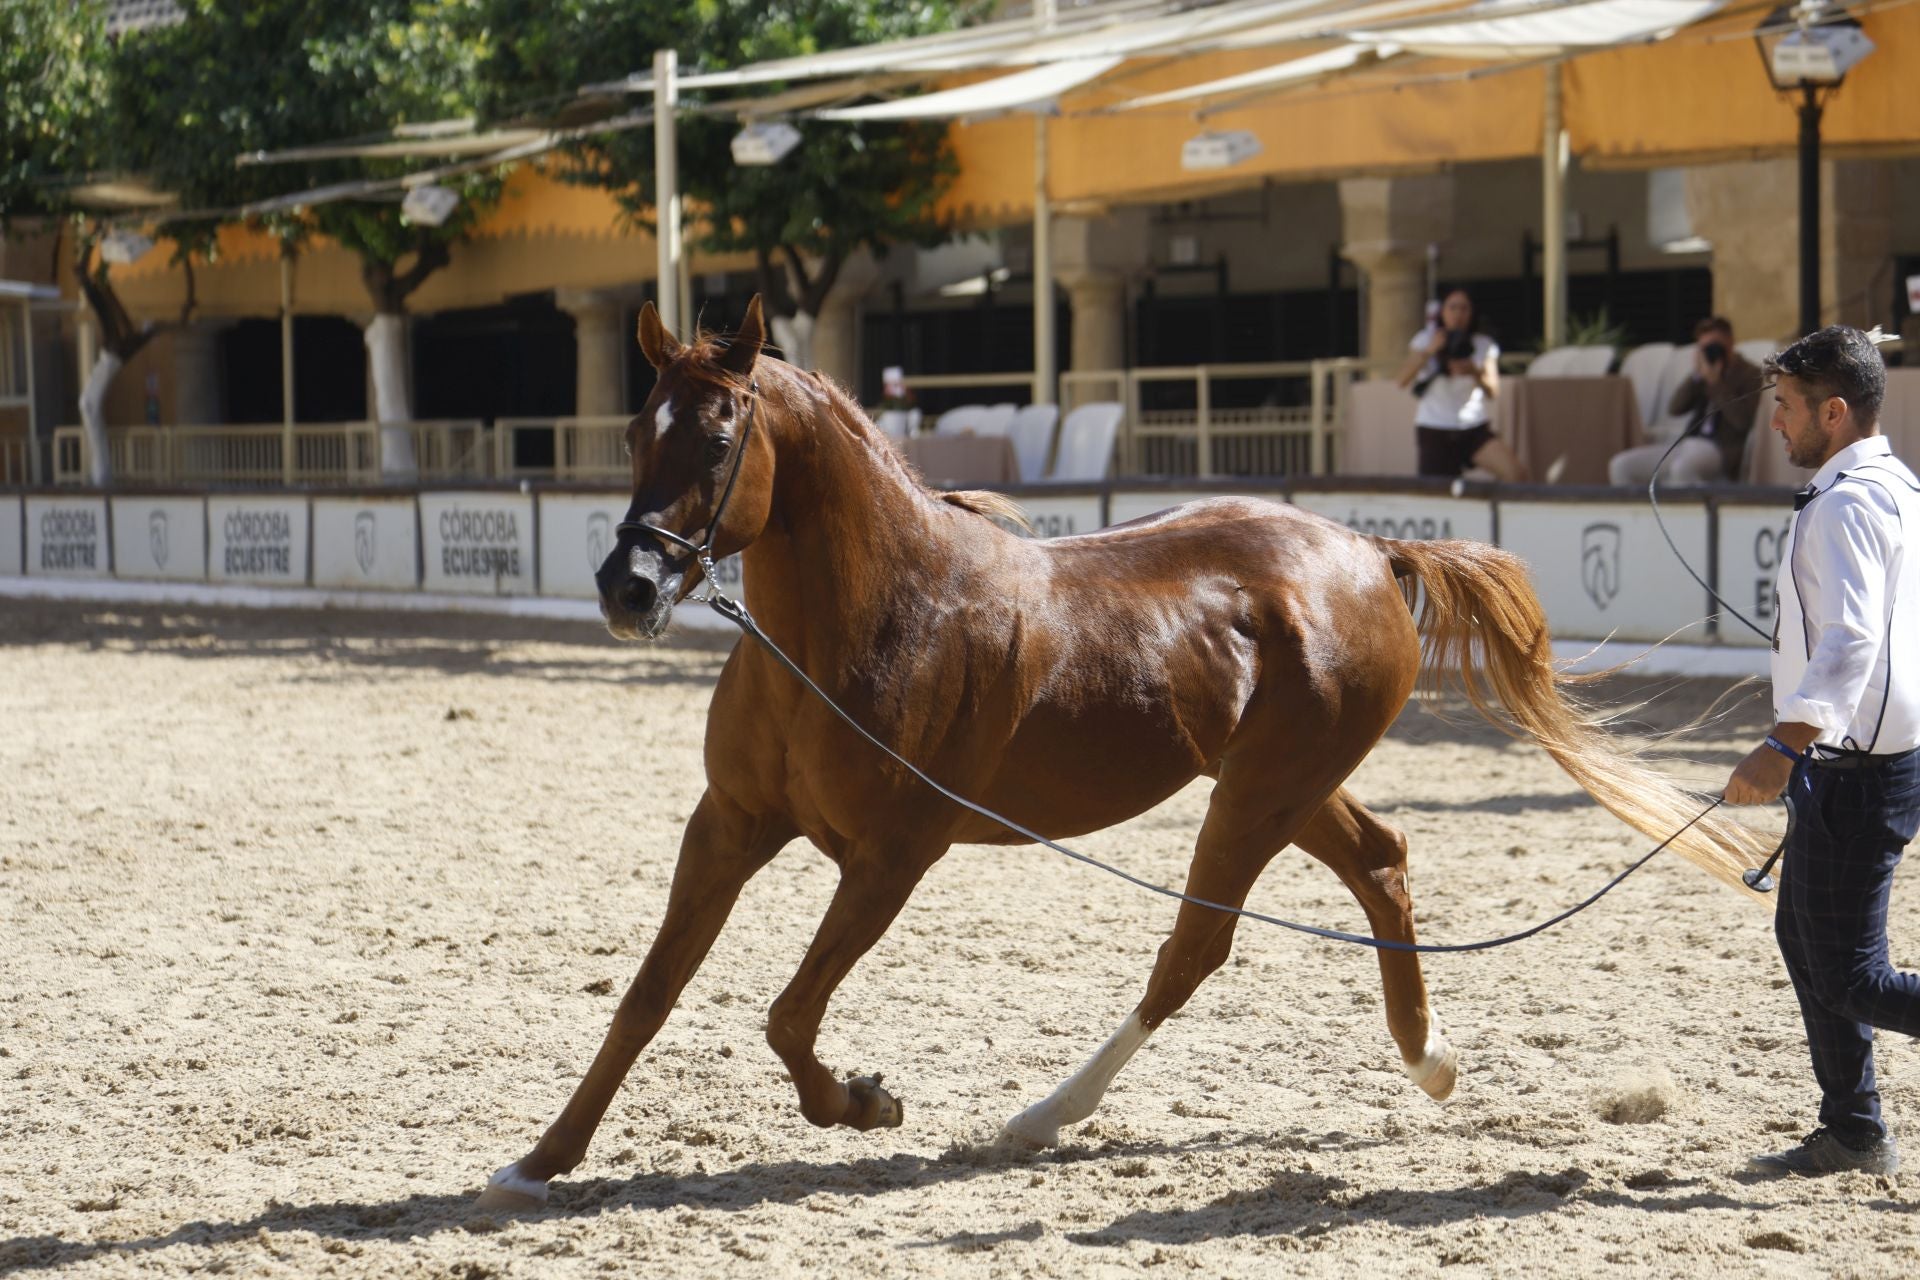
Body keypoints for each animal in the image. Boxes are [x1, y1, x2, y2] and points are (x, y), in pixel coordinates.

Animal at [477, 295, 1772, 1209]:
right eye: (635, 431)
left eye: (719, 436)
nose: (627, 586)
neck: (871, 618)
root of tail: (1368, 548)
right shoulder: (731, 824)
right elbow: (647, 995)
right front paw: (539, 1158)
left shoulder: (893, 854)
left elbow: (789, 1014)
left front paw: (866, 1101)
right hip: (1282, 783)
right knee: (1380, 860)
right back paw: (1431, 1060)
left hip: (1259, 794)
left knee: (1195, 944)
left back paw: (1041, 1116)